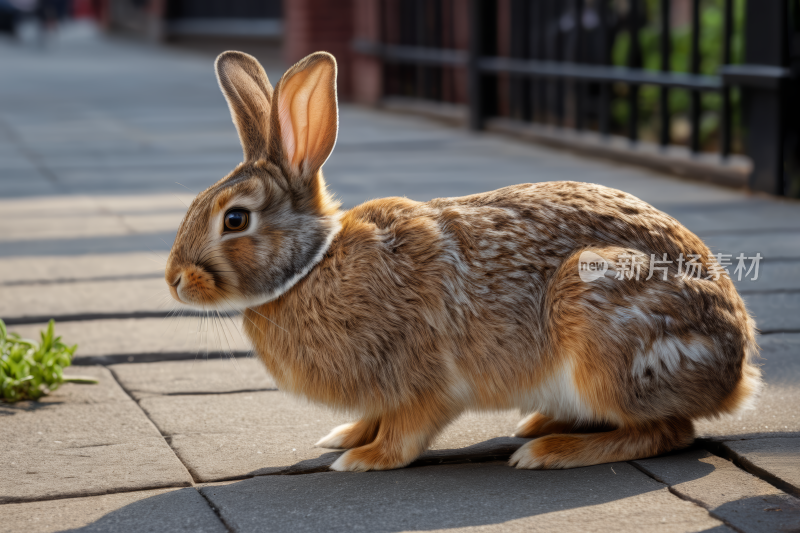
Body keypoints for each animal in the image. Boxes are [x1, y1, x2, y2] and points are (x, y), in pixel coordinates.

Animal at [166, 50, 760, 472]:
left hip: (603, 319)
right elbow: (373, 417)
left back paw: (547, 452)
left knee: (665, 431)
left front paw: (362, 459)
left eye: (235, 219)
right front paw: (344, 437)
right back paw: (538, 425)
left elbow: (407, 431)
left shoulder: (422, 379)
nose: (174, 281)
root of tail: (734, 373)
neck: (313, 264)